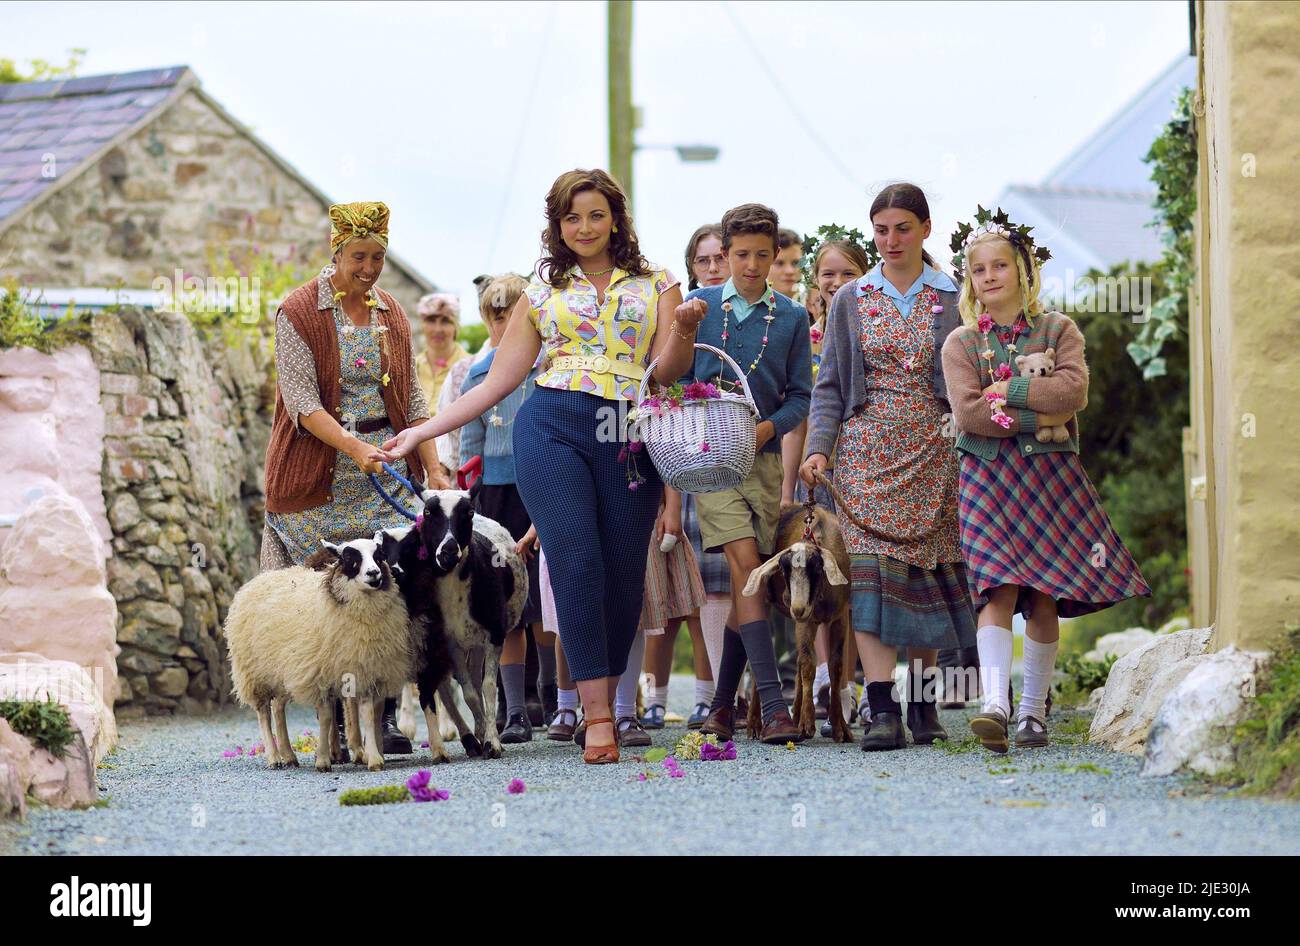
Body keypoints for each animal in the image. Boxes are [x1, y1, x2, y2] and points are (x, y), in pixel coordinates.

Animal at [223, 535, 416, 774]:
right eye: (349, 557)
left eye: (379, 555)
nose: (374, 573)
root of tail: (258, 579)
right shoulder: (321, 676)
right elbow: (326, 718)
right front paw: (323, 759)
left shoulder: (367, 671)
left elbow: (369, 715)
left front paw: (374, 757)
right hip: (254, 674)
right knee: (264, 714)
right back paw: (274, 756)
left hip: (282, 671)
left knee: (278, 709)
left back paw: (289, 755)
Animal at [743, 506, 852, 743]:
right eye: (784, 570)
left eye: (817, 568)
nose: (796, 607)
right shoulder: (806, 621)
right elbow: (808, 664)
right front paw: (807, 723)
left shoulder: (840, 617)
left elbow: (836, 666)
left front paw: (841, 727)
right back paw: (755, 724)